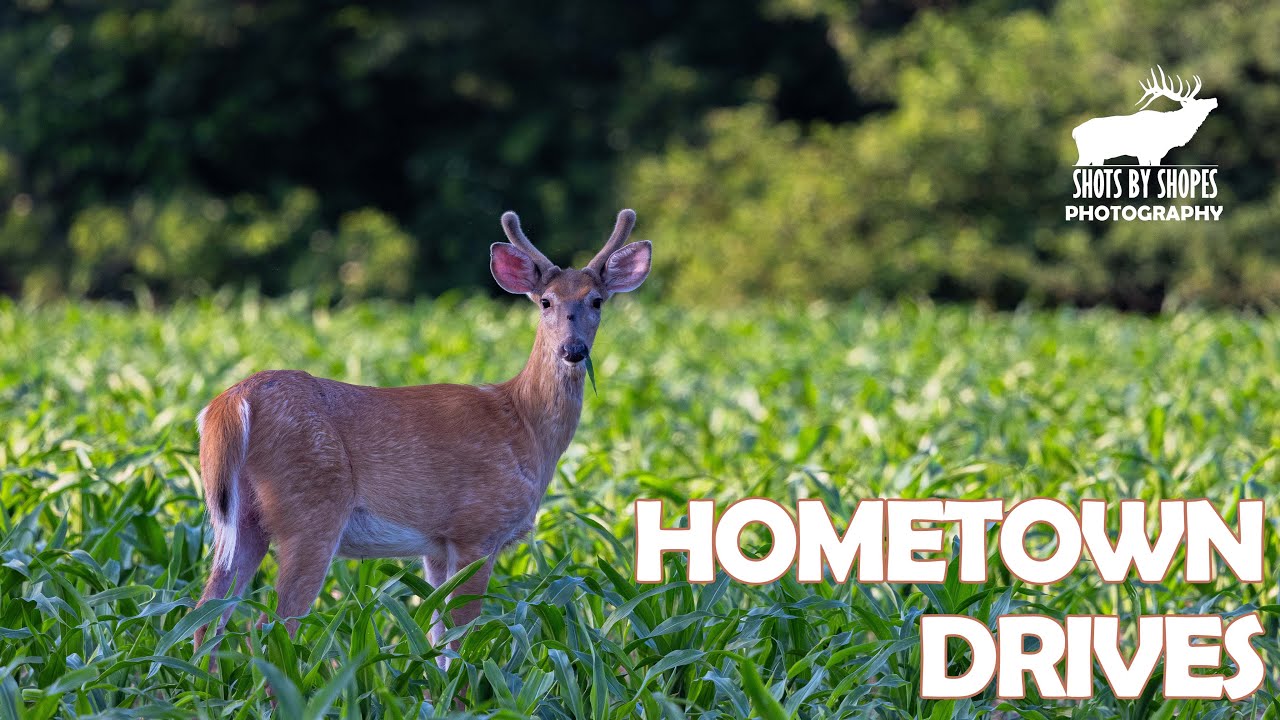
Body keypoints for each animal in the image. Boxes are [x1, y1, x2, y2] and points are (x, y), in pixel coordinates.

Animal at [190, 209, 652, 667]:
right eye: (546, 301)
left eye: (597, 300)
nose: (573, 350)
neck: (524, 424)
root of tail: (233, 402)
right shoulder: (477, 528)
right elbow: (462, 638)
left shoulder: (436, 545)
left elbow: (437, 637)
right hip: (311, 508)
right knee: (269, 627)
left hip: (242, 518)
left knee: (206, 616)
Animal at [1073, 66, 1217, 166]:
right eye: (1199, 103)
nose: (1214, 100)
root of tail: (1075, 132)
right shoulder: (1144, 152)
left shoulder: (1156, 154)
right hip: (1088, 154)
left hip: (1096, 156)